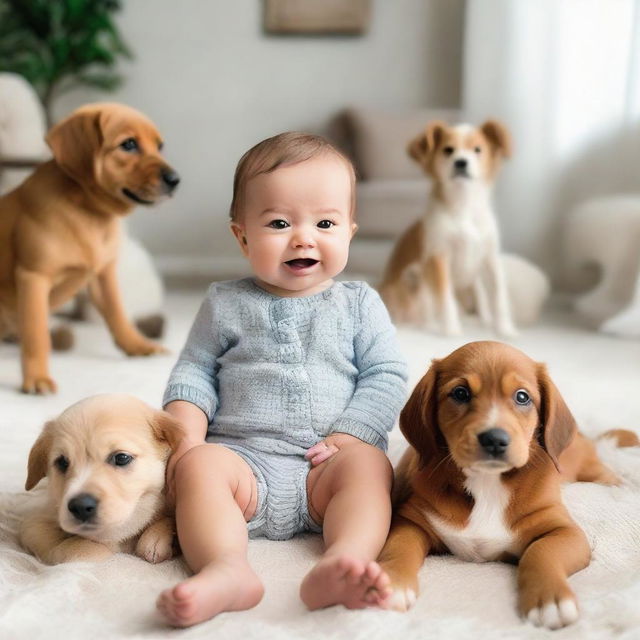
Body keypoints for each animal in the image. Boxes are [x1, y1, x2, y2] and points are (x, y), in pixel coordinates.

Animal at [0, 102, 180, 392]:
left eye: (159, 146)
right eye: (129, 144)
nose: (175, 179)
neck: (89, 213)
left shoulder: (102, 274)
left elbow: (118, 313)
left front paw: (137, 345)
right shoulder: (33, 277)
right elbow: (37, 335)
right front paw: (37, 378)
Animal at [20, 396, 180, 564]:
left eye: (121, 458)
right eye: (62, 462)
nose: (80, 507)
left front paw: (157, 538)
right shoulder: (35, 522)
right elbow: (68, 550)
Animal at [378, 340, 636, 632]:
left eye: (522, 397)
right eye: (460, 393)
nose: (494, 439)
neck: (487, 483)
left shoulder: (564, 530)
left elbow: (541, 552)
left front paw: (550, 601)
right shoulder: (412, 520)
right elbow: (399, 548)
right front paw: (393, 583)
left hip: (592, 469)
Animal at [380, 122, 516, 338]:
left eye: (478, 149)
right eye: (448, 150)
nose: (461, 162)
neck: (463, 206)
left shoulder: (490, 258)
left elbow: (498, 295)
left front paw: (504, 328)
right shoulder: (438, 256)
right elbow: (445, 297)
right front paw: (451, 330)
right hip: (412, 276)